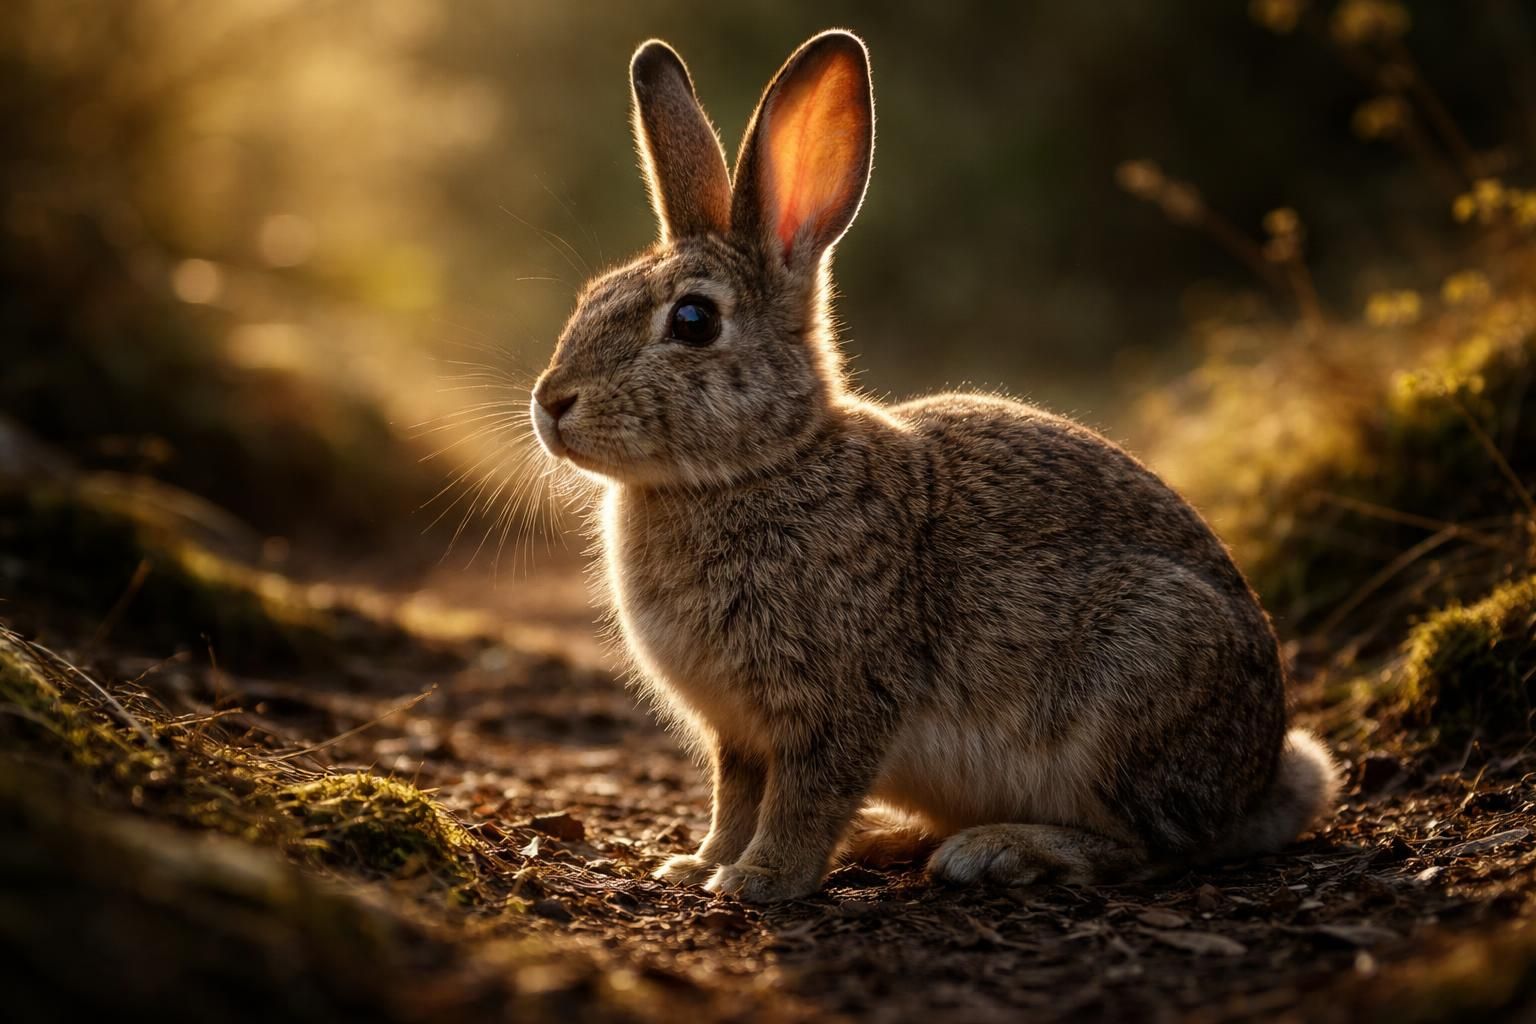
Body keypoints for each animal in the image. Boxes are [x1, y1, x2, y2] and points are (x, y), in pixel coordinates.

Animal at [528, 29, 1341, 903]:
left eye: (692, 321)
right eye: (592, 295)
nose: (550, 402)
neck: (758, 465)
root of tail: (1260, 778)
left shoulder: (840, 703)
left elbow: (804, 797)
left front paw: (761, 879)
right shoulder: (737, 732)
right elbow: (734, 794)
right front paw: (700, 862)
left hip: (1140, 677)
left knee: (1156, 847)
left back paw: (996, 851)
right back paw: (892, 837)